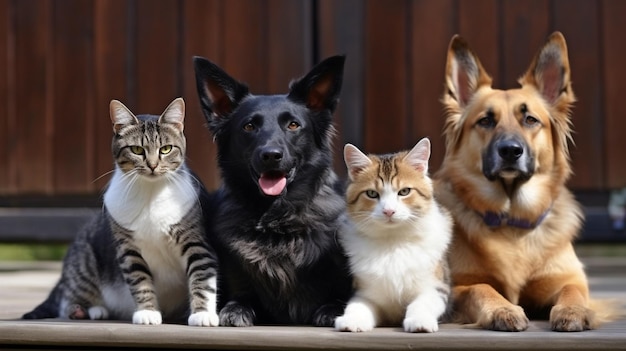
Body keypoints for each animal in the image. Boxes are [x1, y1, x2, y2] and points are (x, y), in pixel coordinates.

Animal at [23, 97, 218, 328]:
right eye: (137, 150)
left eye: (166, 149)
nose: (153, 165)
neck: (150, 192)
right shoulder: (128, 249)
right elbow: (140, 281)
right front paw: (147, 312)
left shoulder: (195, 241)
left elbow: (202, 276)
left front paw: (203, 314)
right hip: (84, 262)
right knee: (68, 298)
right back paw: (89, 310)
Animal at [193, 55, 352, 328]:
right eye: (248, 127)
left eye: (293, 125)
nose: (271, 155)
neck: (277, 224)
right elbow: (240, 298)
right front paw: (235, 310)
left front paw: (332, 310)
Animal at [336, 139, 448, 334]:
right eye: (372, 193)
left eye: (404, 191)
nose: (389, 211)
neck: (393, 241)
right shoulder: (364, 291)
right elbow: (357, 306)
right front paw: (352, 320)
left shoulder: (437, 287)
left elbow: (423, 302)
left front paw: (420, 321)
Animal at [432, 31, 608, 332]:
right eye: (486, 121)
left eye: (530, 119)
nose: (511, 151)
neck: (512, 222)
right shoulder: (456, 287)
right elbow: (481, 288)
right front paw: (503, 309)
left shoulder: (566, 279)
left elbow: (573, 291)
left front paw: (572, 311)